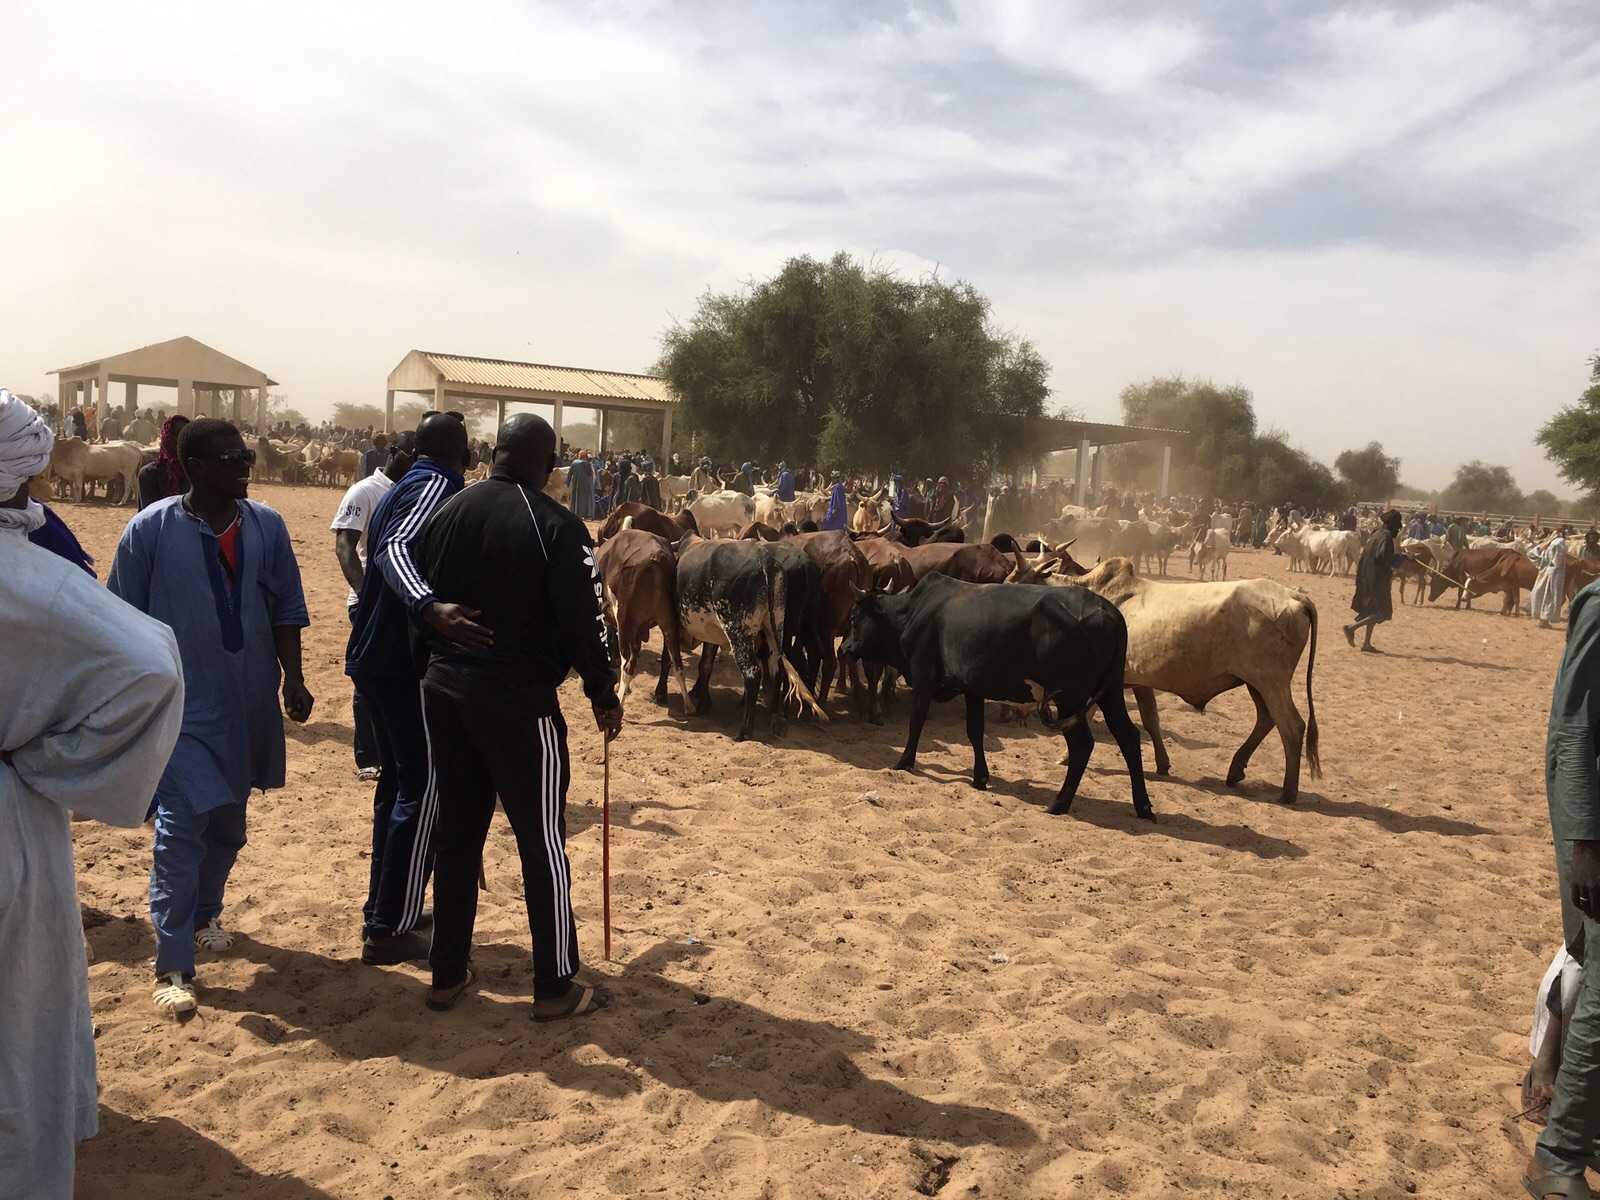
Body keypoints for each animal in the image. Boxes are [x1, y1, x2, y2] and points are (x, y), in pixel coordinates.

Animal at [592, 528, 684, 713]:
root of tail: (658, 557)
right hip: (669, 623)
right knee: (675, 662)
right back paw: (687, 705)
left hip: (626, 624)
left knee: (628, 665)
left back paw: (620, 701)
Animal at [838, 569, 1152, 819]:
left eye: (854, 617)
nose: (843, 649)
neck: (912, 612)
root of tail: (1108, 612)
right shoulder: (972, 689)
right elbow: (975, 732)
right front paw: (980, 778)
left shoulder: (923, 676)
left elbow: (916, 721)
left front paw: (904, 762)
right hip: (1111, 693)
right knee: (1128, 737)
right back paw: (1144, 807)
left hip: (1069, 698)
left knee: (1082, 745)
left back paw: (1059, 803)